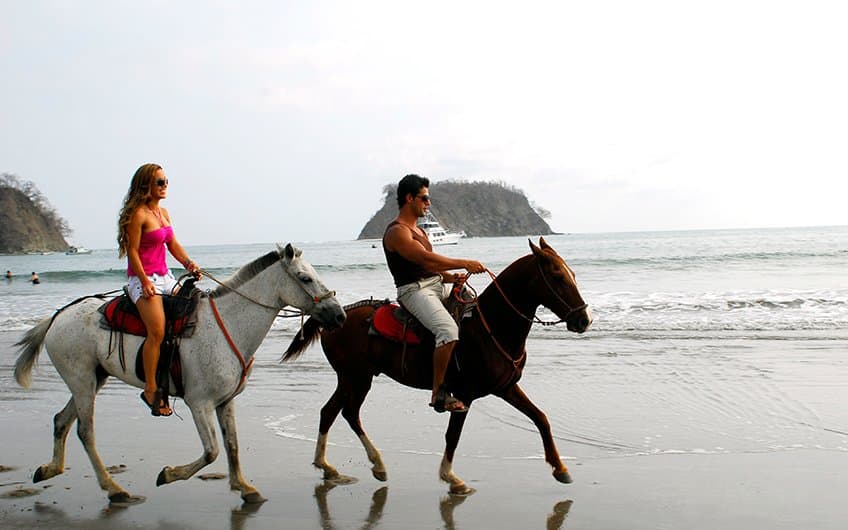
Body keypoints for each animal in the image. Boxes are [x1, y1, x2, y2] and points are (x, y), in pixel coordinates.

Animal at [14, 241, 344, 502]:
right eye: (305, 277)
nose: (339, 315)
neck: (227, 325)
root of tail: (57, 317)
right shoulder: (199, 404)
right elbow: (212, 451)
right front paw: (169, 474)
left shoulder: (225, 402)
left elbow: (232, 445)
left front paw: (244, 487)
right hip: (82, 381)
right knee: (85, 431)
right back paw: (113, 488)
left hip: (93, 379)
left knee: (62, 421)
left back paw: (50, 469)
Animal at [284, 237, 588, 492]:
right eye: (557, 277)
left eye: (572, 274)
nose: (584, 320)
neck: (490, 327)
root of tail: (338, 316)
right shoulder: (465, 395)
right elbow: (453, 436)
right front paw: (451, 478)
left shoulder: (506, 387)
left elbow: (540, 418)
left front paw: (560, 468)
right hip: (358, 378)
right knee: (349, 413)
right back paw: (376, 465)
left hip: (349, 378)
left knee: (329, 412)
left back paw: (328, 467)